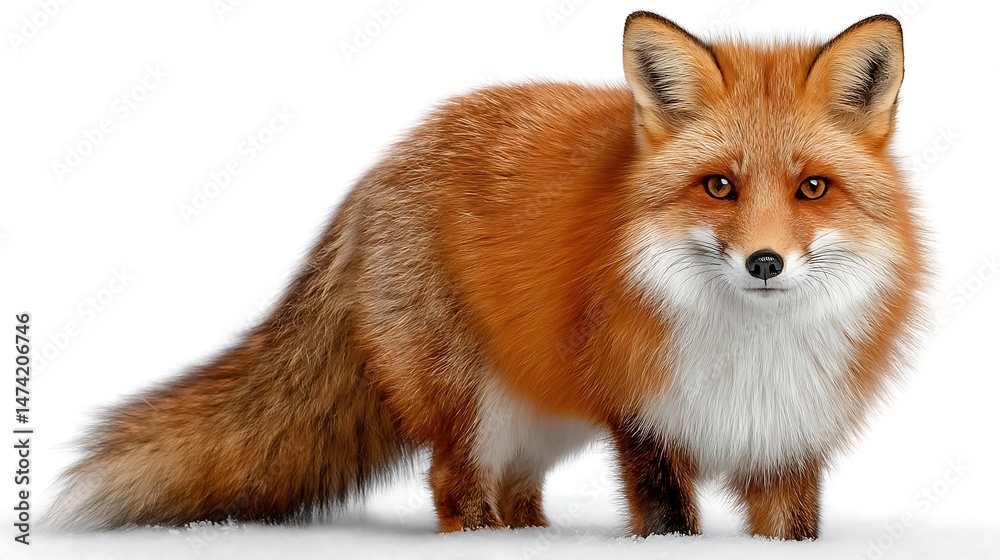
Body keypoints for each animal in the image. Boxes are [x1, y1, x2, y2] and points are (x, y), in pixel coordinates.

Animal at [49, 11, 925, 541]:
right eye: (719, 186)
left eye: (812, 188)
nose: (765, 262)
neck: (750, 349)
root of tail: (379, 169)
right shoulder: (643, 419)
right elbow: (669, 515)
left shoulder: (788, 434)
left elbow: (790, 525)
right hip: (471, 402)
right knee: (451, 482)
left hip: (540, 414)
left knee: (516, 489)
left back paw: (535, 538)